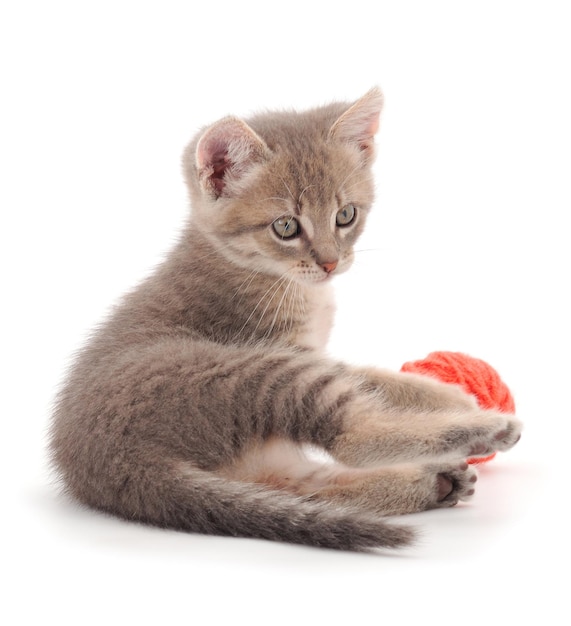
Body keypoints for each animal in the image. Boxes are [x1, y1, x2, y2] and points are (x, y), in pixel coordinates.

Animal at [50, 89, 524, 552]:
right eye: (285, 226)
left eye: (346, 215)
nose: (331, 262)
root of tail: (114, 467)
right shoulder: (288, 349)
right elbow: (367, 380)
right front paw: (455, 399)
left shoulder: (312, 351)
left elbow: (369, 378)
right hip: (258, 374)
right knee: (354, 437)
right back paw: (484, 431)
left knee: (305, 489)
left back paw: (435, 482)